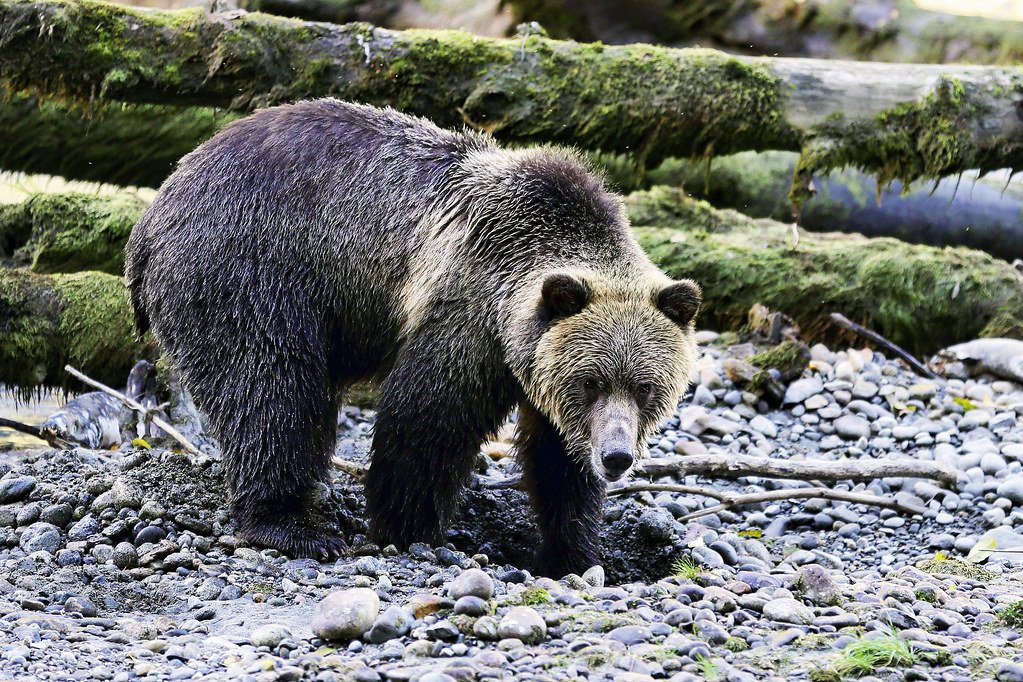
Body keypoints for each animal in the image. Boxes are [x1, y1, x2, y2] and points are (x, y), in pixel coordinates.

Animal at [123, 98, 699, 580]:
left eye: (645, 388)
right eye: (591, 382)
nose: (617, 456)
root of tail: (149, 218)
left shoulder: (540, 365)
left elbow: (558, 461)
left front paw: (574, 553)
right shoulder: (469, 306)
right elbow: (427, 417)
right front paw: (408, 526)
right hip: (251, 268)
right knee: (269, 386)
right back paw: (294, 525)